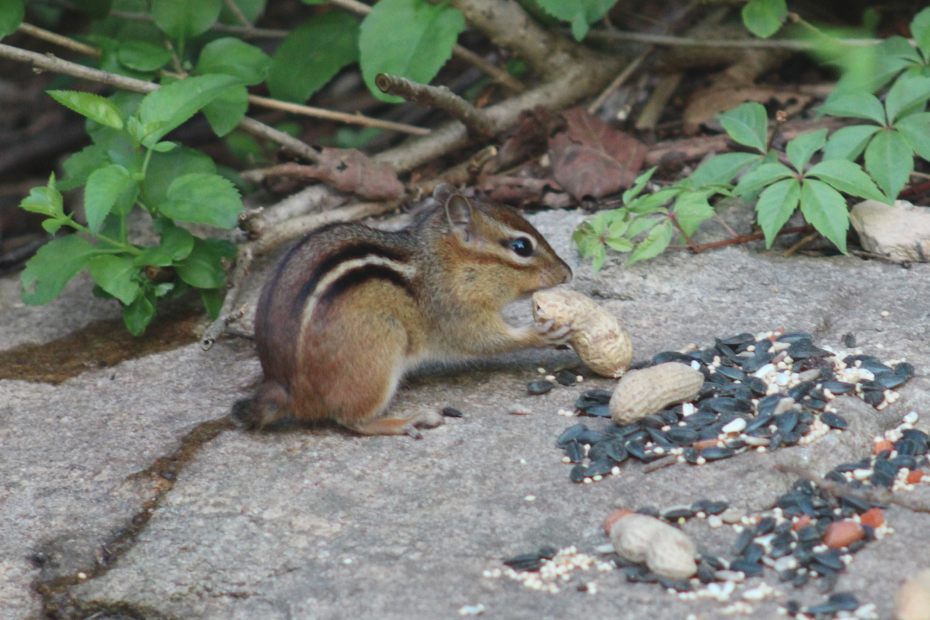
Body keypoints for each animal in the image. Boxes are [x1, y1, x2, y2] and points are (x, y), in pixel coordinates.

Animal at [234, 183, 573, 436]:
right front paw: (543, 332)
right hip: (379, 354)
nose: (568, 273)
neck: (443, 263)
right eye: (521, 247)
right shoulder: (455, 313)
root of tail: (285, 390)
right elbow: (483, 341)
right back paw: (408, 421)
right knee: (352, 421)